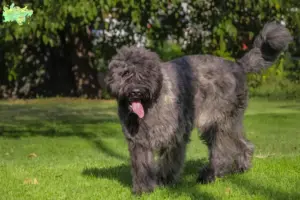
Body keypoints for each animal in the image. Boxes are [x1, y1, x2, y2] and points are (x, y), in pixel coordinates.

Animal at [104, 21, 292, 194]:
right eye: (125, 73)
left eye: (145, 74)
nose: (136, 91)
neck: (153, 103)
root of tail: (238, 66)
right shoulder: (138, 141)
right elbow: (141, 165)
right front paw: (143, 189)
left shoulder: (175, 137)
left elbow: (169, 161)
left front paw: (164, 180)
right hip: (224, 124)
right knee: (242, 144)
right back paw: (241, 167)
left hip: (219, 122)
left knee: (223, 151)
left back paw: (209, 175)